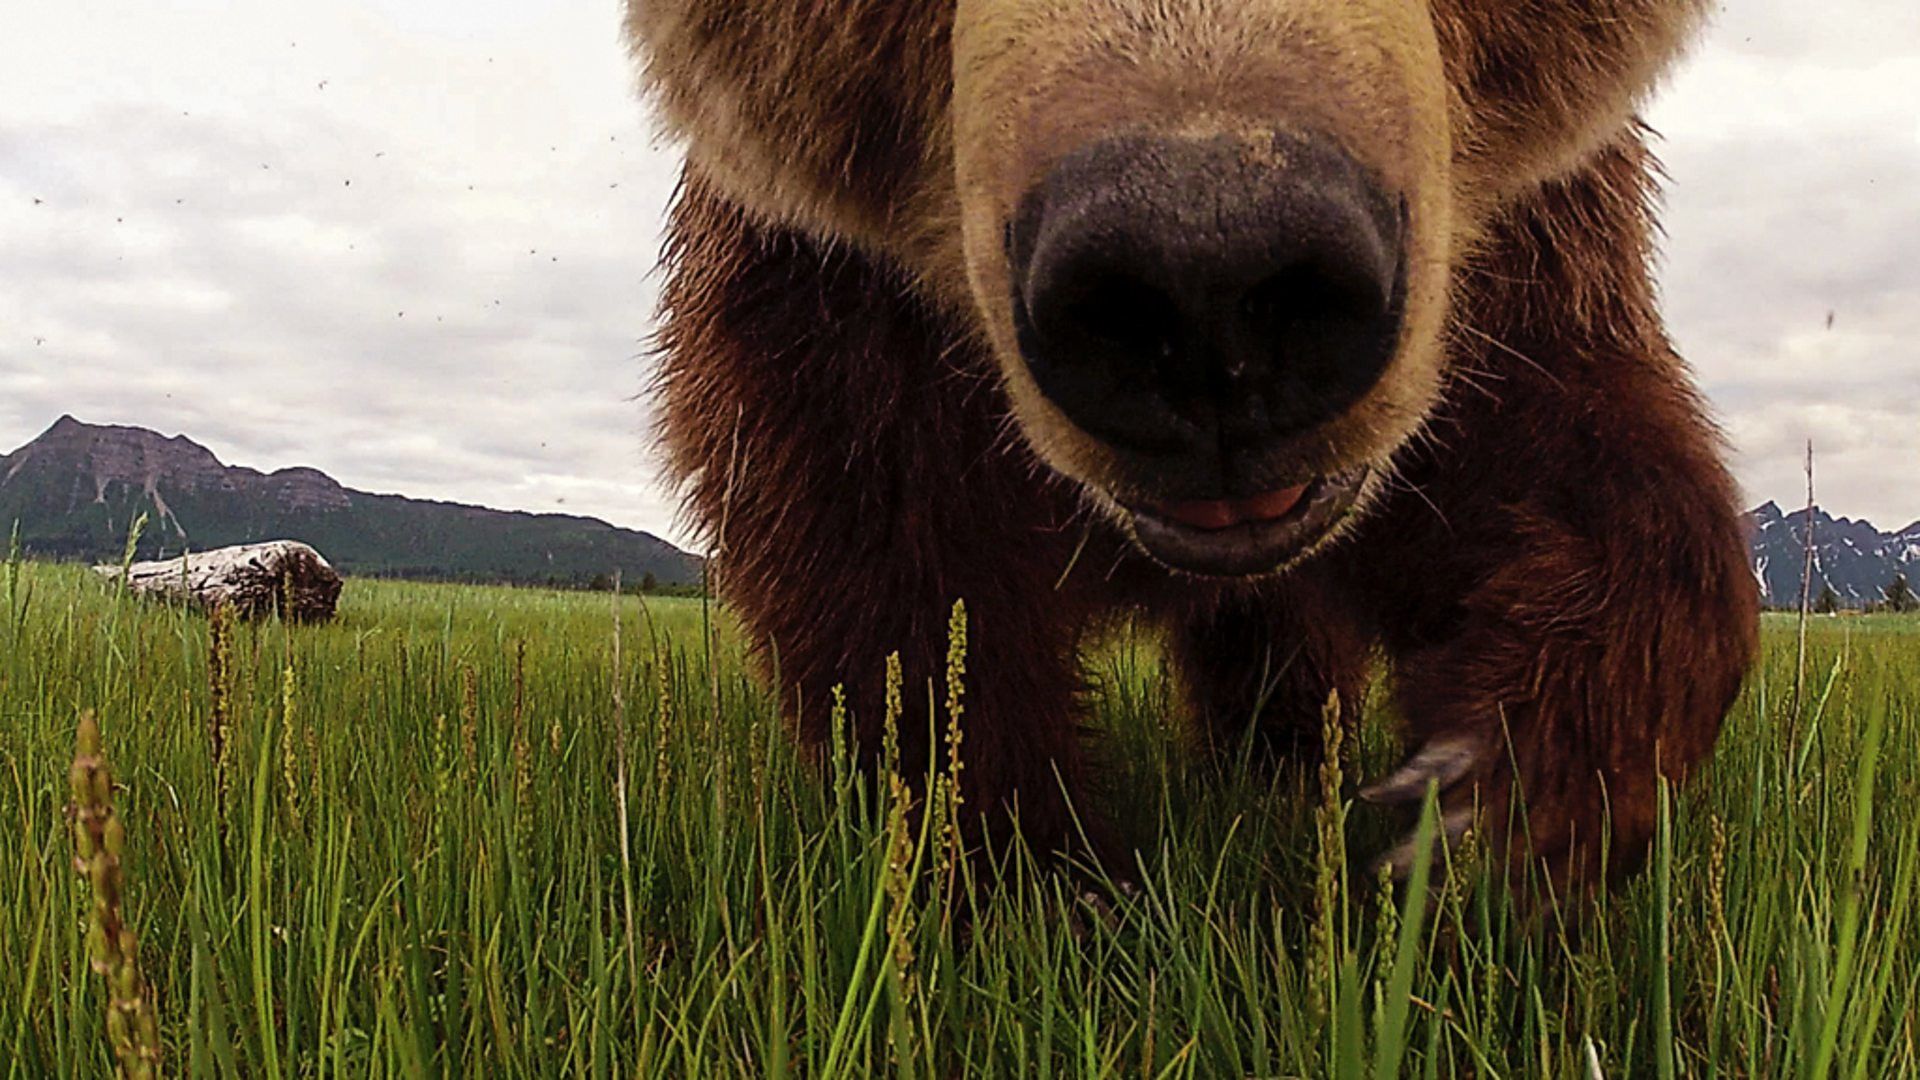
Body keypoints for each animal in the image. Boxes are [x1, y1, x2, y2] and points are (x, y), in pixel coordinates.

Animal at [623, 0, 1759, 888]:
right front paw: (1029, 872)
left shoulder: (1514, 269)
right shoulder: (826, 303)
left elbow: (1573, 463)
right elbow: (899, 589)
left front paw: (1493, 787)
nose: (1206, 270)